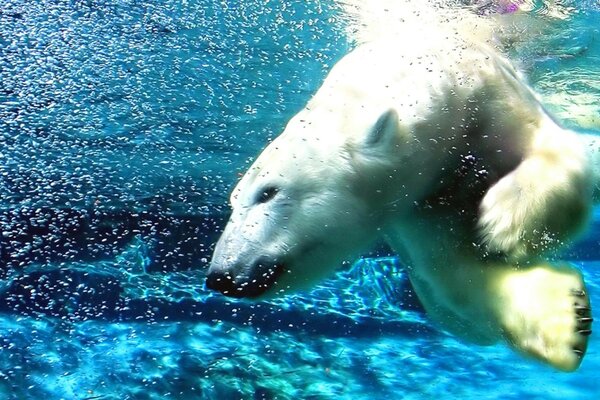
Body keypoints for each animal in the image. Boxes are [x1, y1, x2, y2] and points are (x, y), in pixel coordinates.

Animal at [205, 0, 596, 372]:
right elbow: (451, 274)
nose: (220, 276)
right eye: (233, 202)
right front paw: (565, 318)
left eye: (268, 192)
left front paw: (504, 222)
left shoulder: (488, 99)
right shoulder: (414, 205)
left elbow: (553, 148)